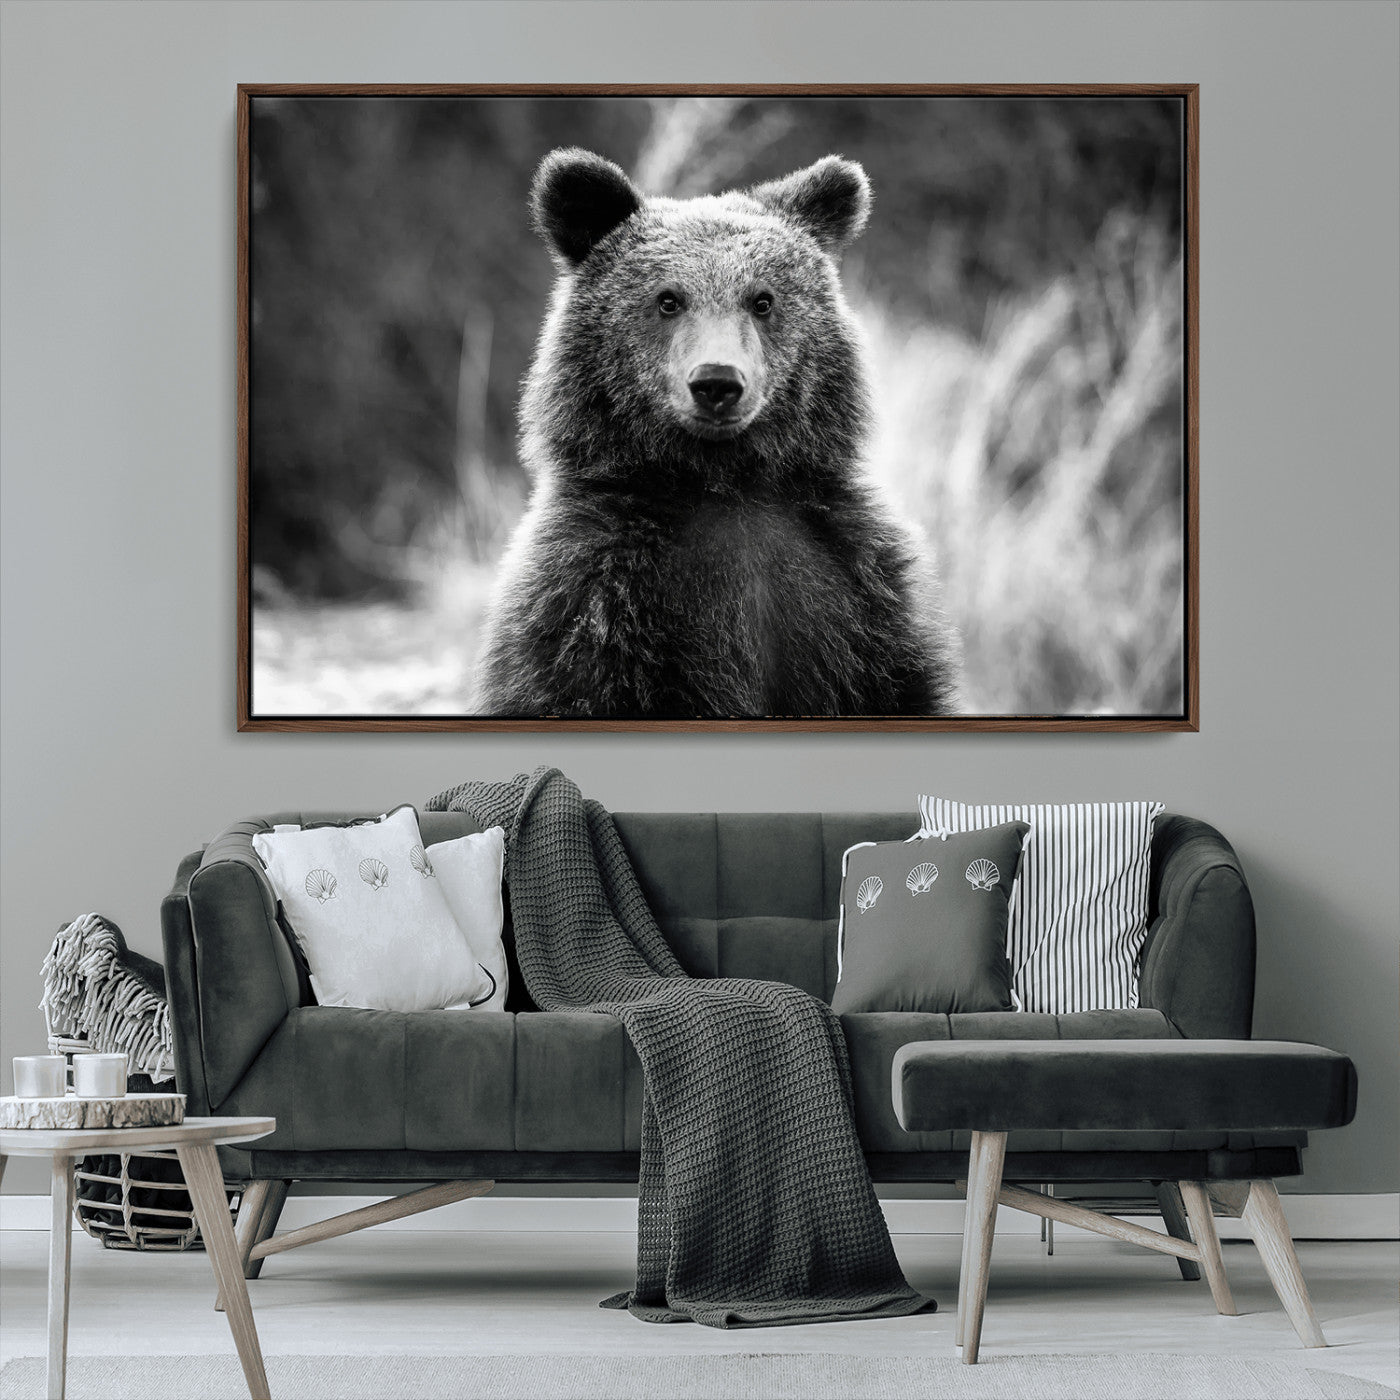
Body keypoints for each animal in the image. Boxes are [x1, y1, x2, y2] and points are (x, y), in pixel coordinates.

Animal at [473, 147, 960, 719]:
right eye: (667, 299)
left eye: (762, 300)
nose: (717, 382)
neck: (723, 482)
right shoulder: (592, 598)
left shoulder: (856, 591)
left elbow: (899, 683)